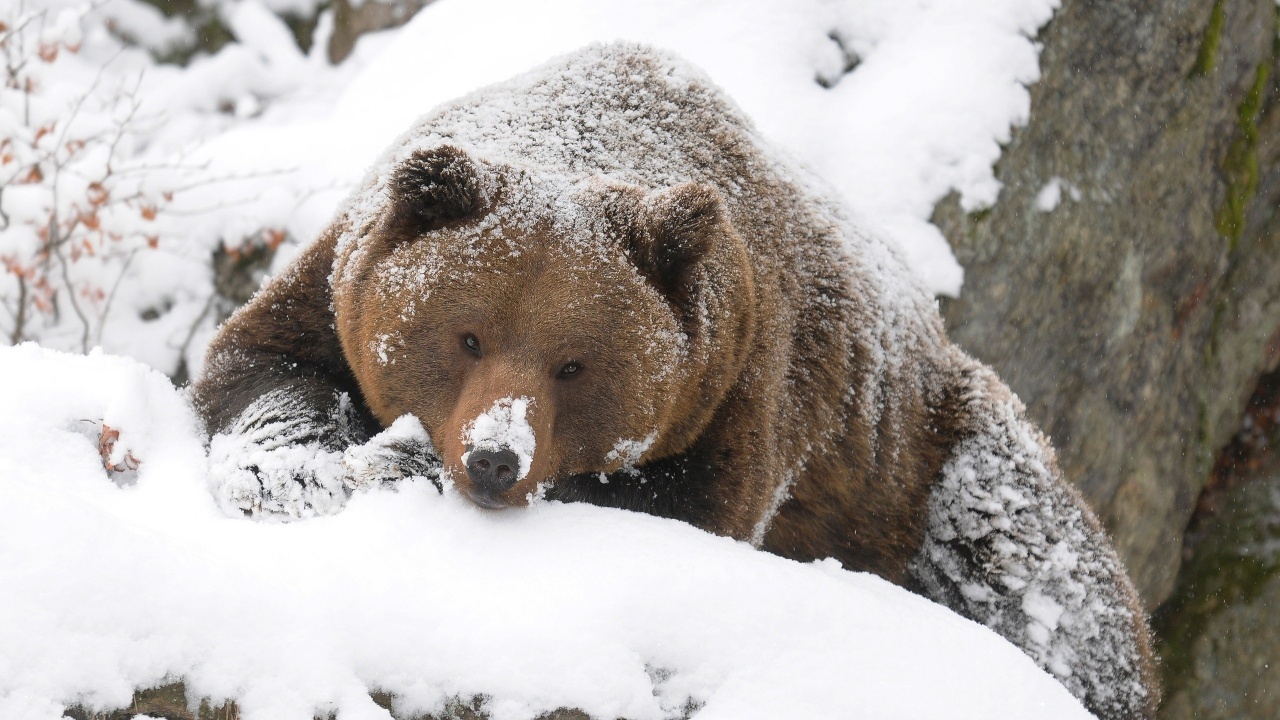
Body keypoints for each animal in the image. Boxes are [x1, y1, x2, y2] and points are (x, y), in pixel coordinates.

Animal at [193, 43, 1158, 719]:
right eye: (466, 335)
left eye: (574, 363)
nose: (495, 459)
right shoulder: (335, 282)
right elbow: (262, 364)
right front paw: (290, 471)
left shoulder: (742, 385)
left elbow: (677, 505)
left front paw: (401, 461)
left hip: (926, 460)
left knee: (1043, 579)